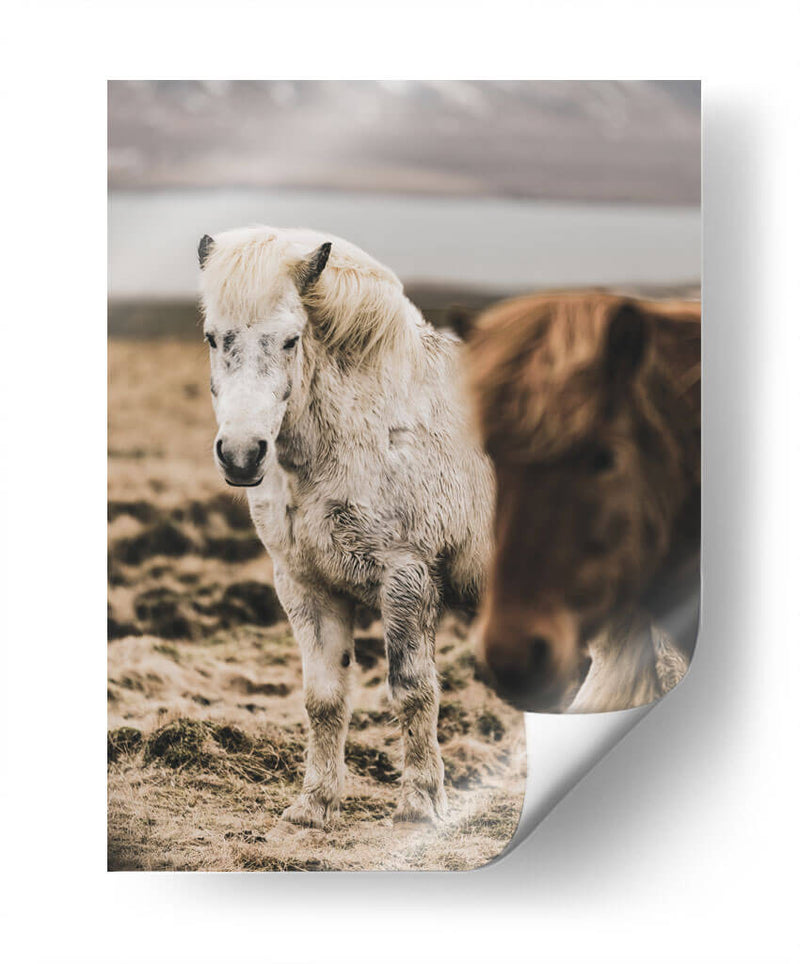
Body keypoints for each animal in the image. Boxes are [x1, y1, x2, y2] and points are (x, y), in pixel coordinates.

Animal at [198, 226, 494, 826]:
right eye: (213, 338)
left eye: (290, 341)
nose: (241, 454)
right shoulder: (307, 587)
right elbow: (324, 697)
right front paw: (314, 804)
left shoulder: (408, 580)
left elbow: (412, 690)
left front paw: (420, 804)